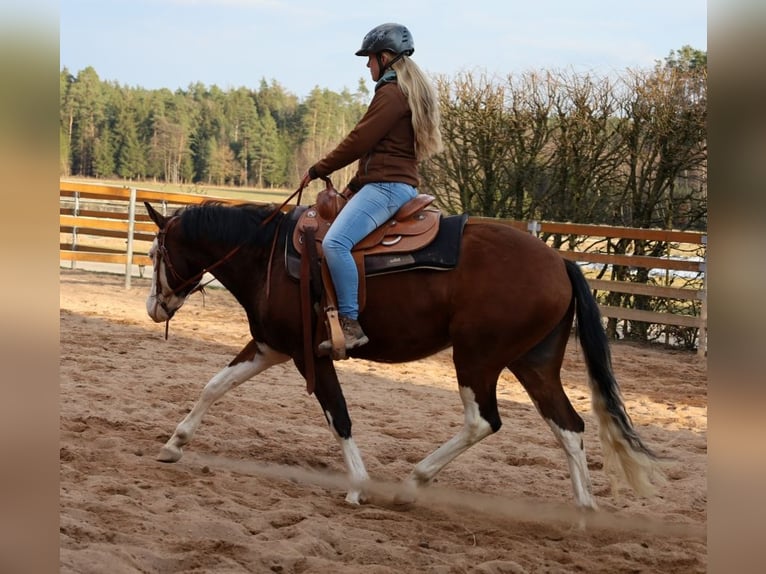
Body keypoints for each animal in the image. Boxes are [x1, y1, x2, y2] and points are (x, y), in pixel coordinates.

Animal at [146, 200, 664, 510]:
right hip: (532, 363)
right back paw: (584, 512)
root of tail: (559, 261)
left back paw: (413, 483)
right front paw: (174, 444)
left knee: (483, 421)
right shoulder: (272, 346)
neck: (267, 256)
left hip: (477, 358)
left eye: (154, 253)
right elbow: (215, 385)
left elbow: (338, 416)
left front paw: (358, 486)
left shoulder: (309, 354)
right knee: (568, 426)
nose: (153, 308)